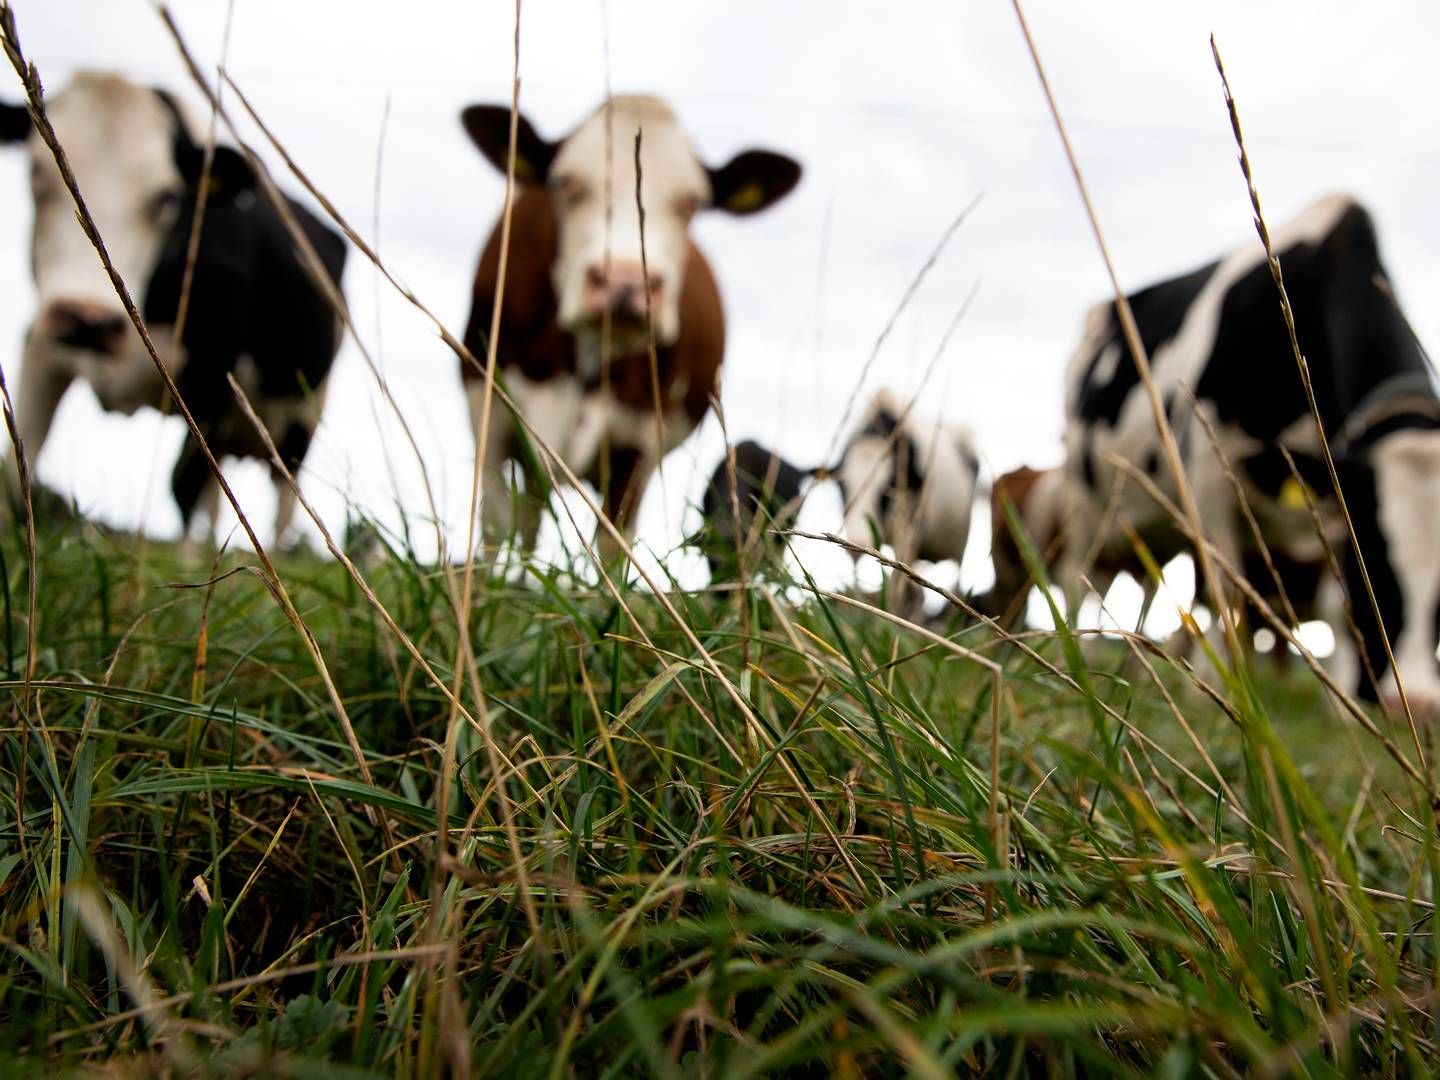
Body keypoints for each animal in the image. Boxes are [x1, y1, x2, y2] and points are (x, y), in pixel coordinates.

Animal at [0, 72, 345, 544]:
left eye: (165, 197)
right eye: (35, 173)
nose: (87, 319)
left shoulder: (213, 374)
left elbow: (183, 486)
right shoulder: (41, 344)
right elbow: (20, 460)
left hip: (302, 419)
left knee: (281, 505)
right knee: (217, 500)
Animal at [457, 99, 800, 567]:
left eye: (692, 203)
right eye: (564, 182)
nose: (625, 281)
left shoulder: (639, 442)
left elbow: (612, 542)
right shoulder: (487, 409)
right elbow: (493, 526)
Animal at [1059, 197, 1440, 711]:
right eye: (1375, 557)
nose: (1416, 705)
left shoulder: (1330, 506)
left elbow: (1335, 610)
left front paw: (1338, 706)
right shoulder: (1208, 463)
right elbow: (1227, 588)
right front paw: (1220, 692)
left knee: (1149, 589)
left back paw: (1137, 668)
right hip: (1083, 499)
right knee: (1078, 576)